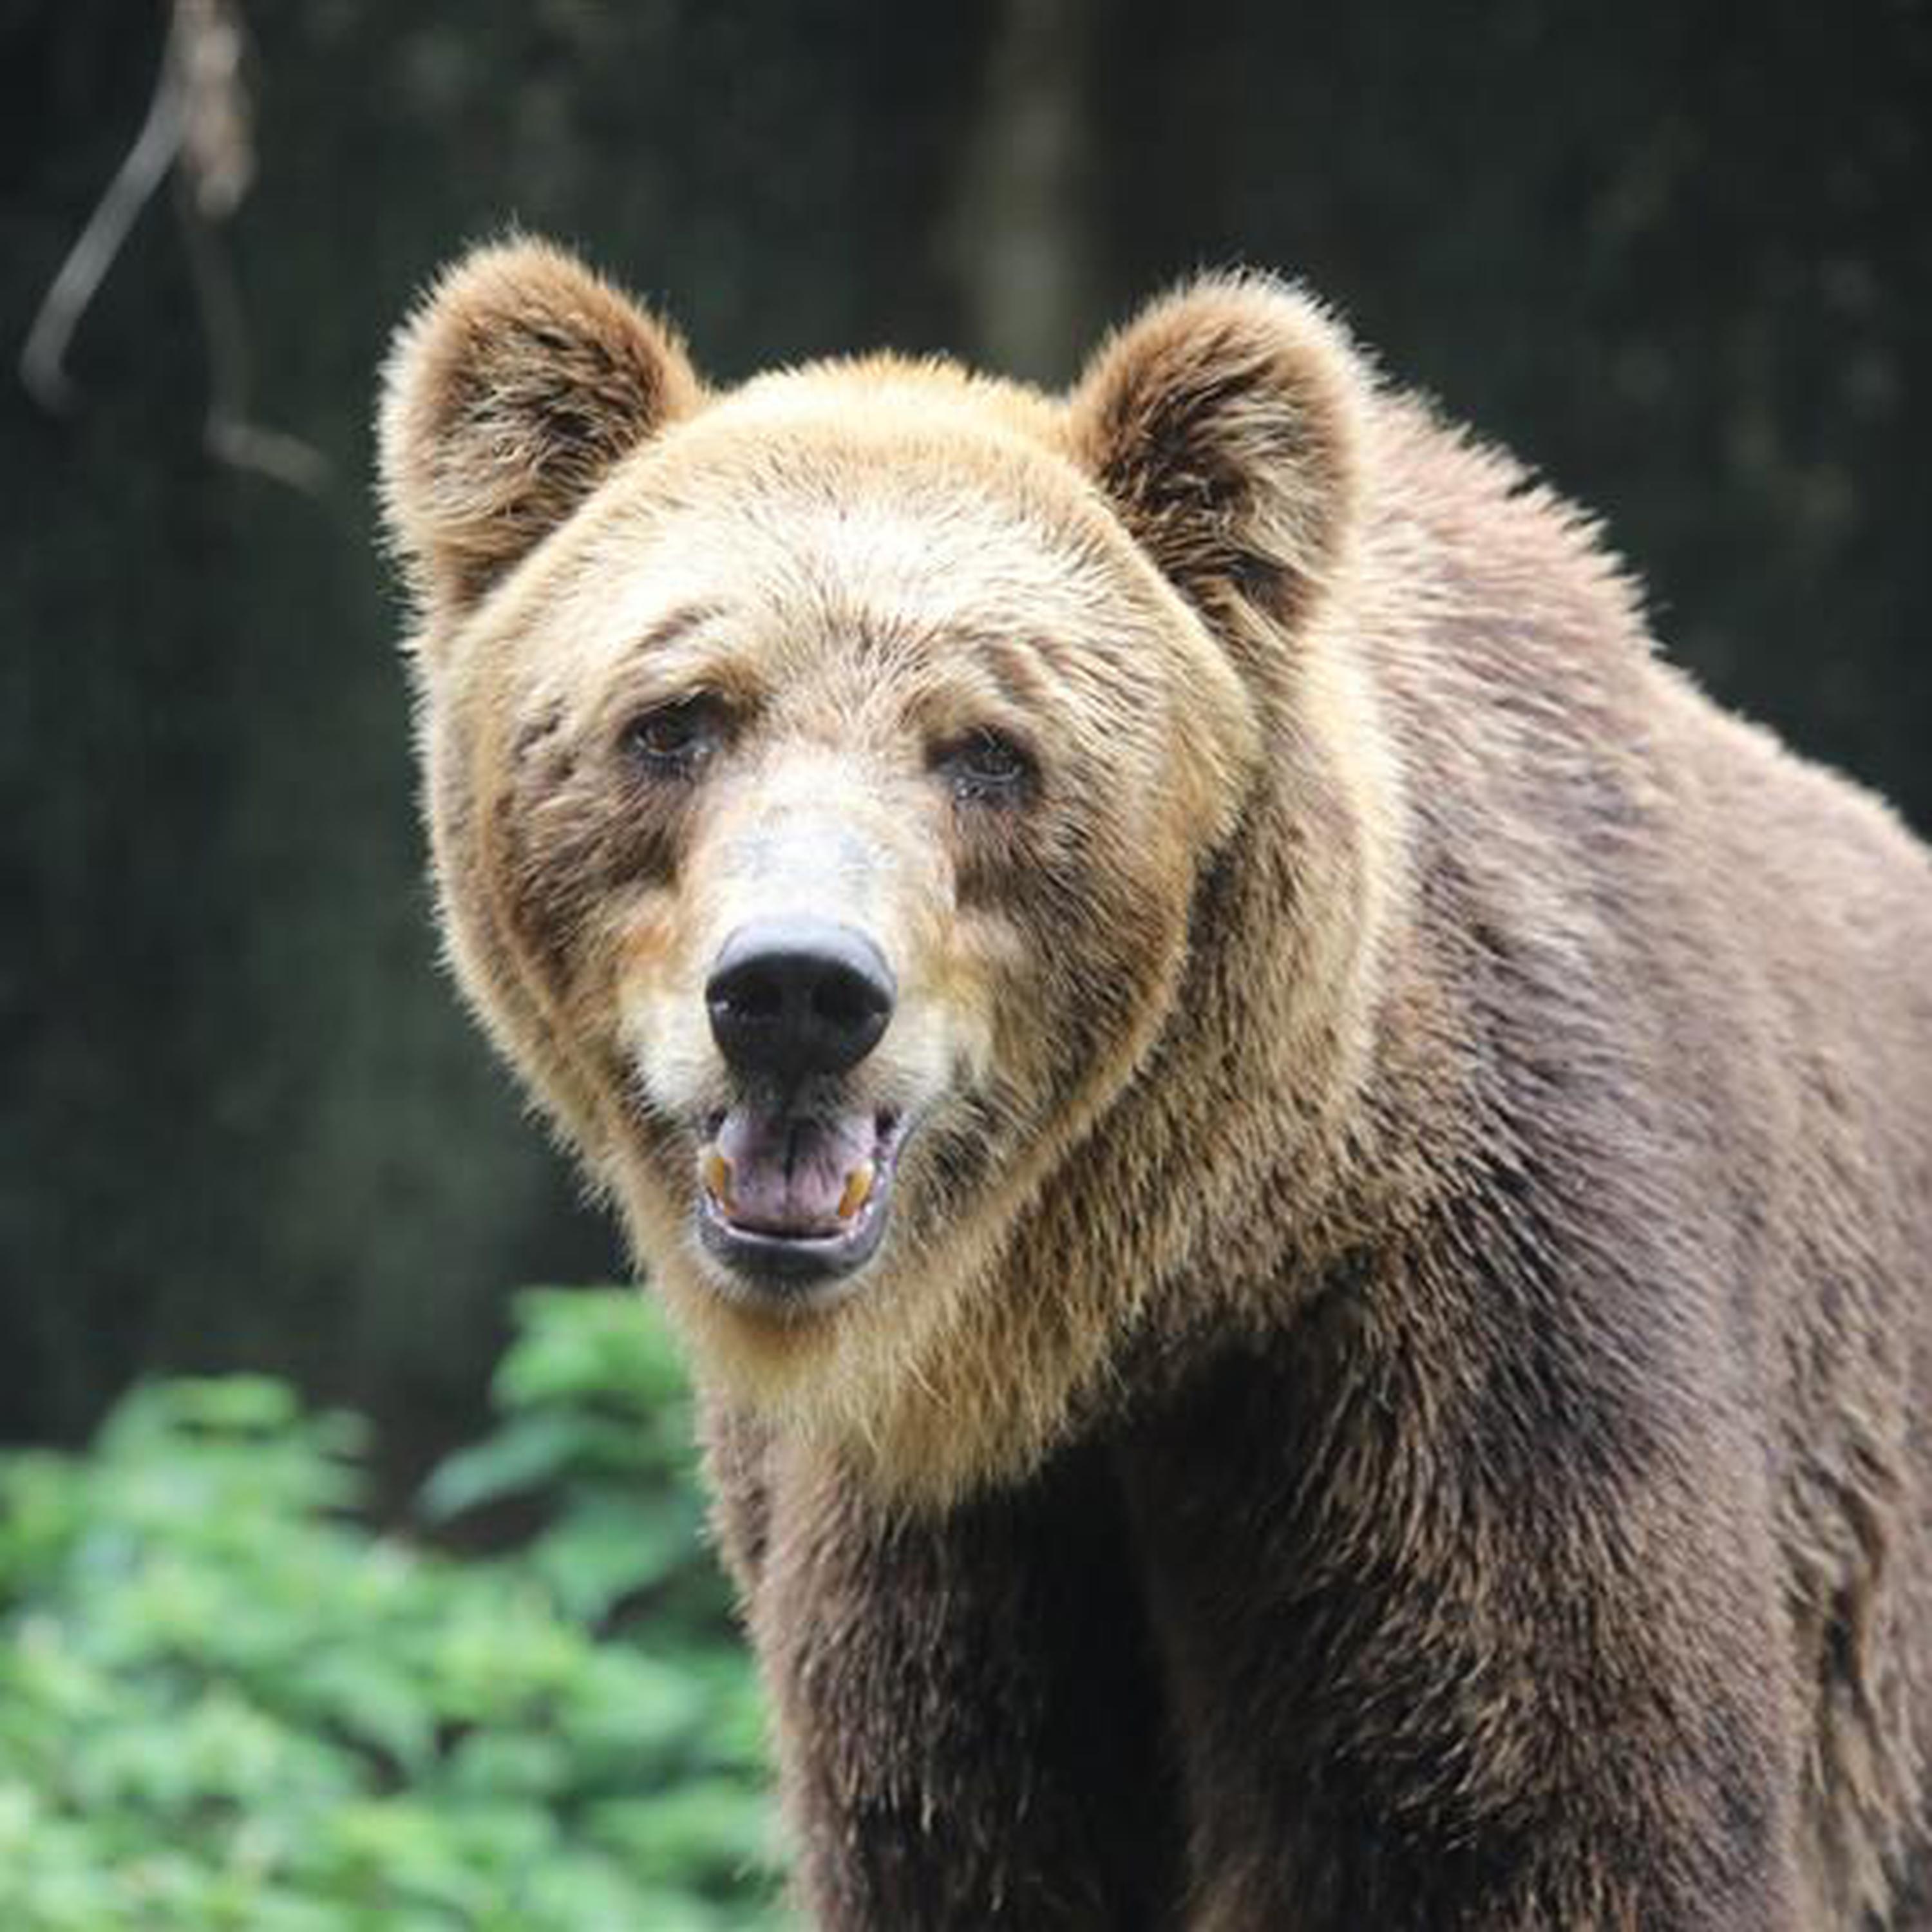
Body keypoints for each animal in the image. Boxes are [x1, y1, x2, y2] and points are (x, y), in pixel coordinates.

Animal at [377, 238, 1932, 1929]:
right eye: (676, 718)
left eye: (989, 749)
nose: (795, 992)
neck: (1119, 1307)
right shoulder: (942, 1563)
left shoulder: (1484, 1350)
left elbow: (1544, 1813)